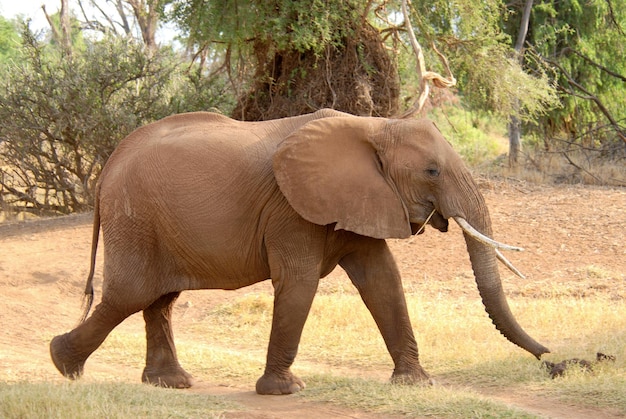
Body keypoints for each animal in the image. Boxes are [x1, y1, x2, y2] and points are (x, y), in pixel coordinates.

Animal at [50, 108, 544, 394]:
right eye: (432, 171)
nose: (551, 362)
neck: (375, 126)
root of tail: (109, 164)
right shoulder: (290, 207)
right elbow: (300, 282)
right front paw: (285, 390)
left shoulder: (359, 197)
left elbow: (383, 279)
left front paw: (418, 384)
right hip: (135, 218)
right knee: (131, 294)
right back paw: (63, 363)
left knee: (159, 300)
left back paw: (170, 384)